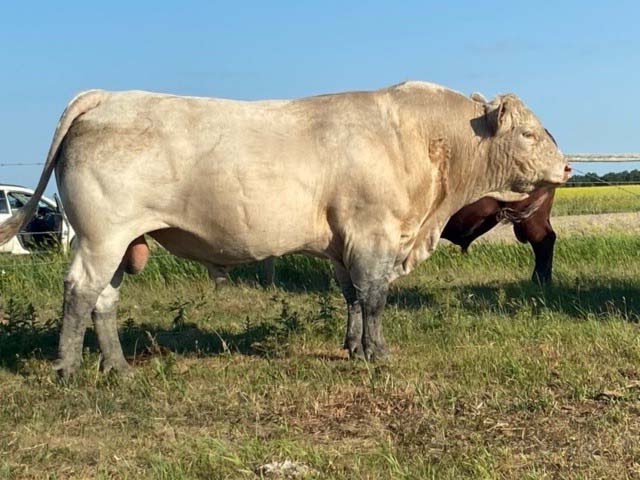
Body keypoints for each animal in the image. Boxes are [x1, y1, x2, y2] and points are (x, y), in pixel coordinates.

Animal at [0, 80, 568, 376]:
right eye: (529, 133)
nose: (566, 167)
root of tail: (108, 95)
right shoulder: (374, 233)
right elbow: (374, 297)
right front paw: (378, 355)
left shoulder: (346, 243)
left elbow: (353, 297)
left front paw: (354, 348)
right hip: (102, 235)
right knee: (79, 292)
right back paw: (69, 369)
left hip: (119, 242)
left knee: (105, 300)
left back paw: (117, 367)